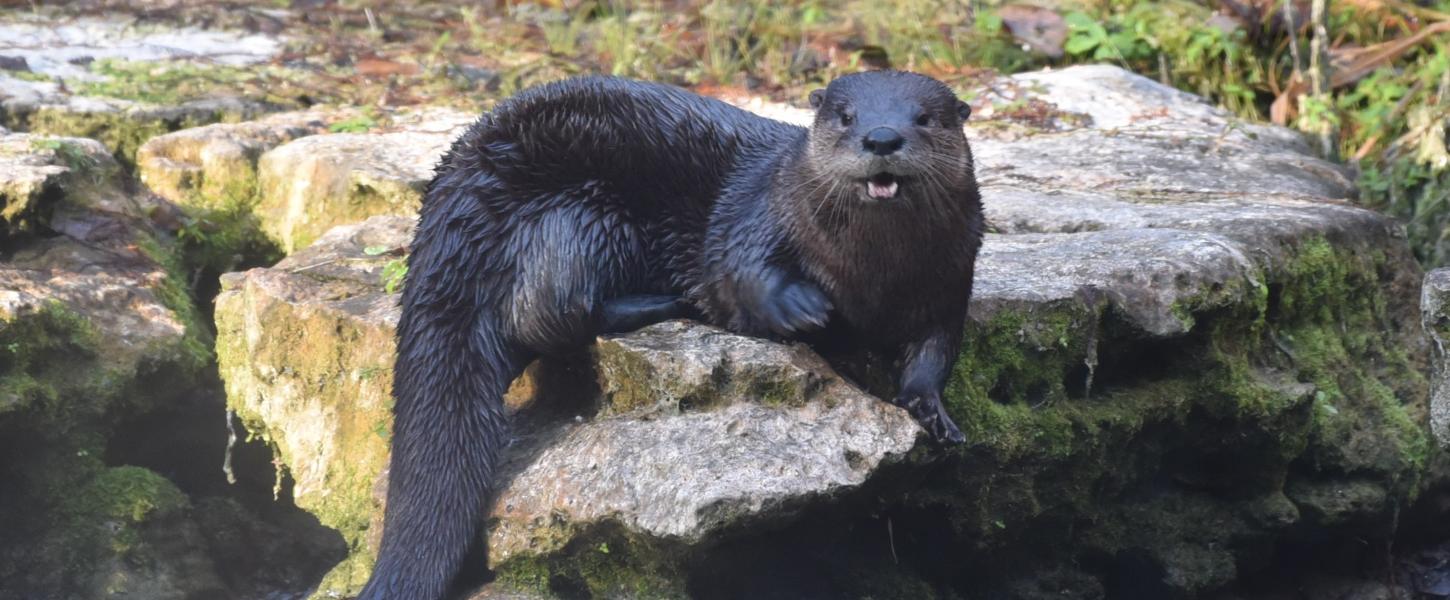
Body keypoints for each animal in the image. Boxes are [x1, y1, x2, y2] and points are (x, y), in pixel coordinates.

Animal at [357, 70, 982, 600]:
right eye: (846, 116)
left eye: (924, 118)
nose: (881, 137)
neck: (872, 275)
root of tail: (456, 203)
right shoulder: (758, 215)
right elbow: (740, 268)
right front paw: (803, 308)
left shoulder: (951, 281)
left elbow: (935, 350)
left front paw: (932, 411)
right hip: (580, 217)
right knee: (544, 312)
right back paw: (663, 302)